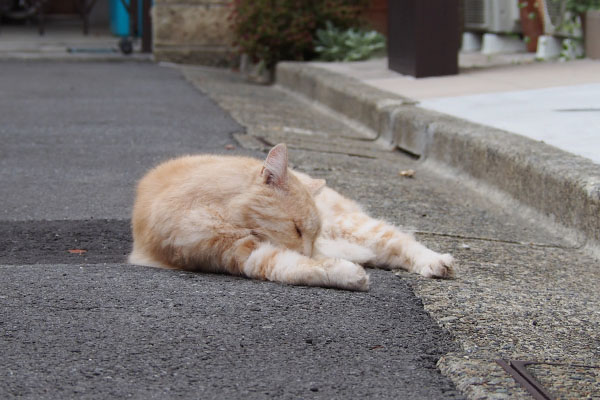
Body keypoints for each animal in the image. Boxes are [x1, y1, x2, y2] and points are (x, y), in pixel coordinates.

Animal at [127, 144, 454, 290]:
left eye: (310, 233)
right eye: (296, 229)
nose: (311, 249)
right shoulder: (239, 253)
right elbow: (292, 267)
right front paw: (348, 274)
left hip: (354, 226)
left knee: (400, 242)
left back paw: (436, 263)